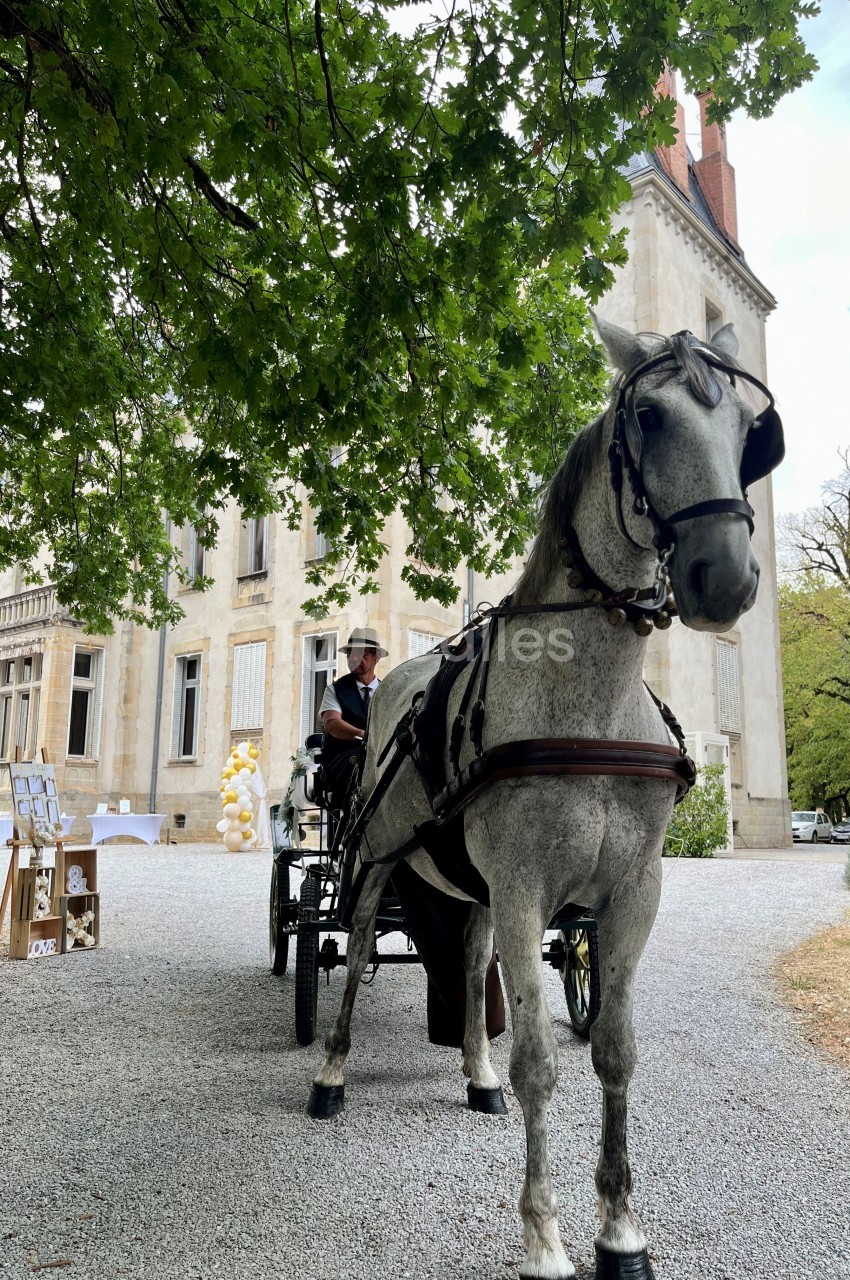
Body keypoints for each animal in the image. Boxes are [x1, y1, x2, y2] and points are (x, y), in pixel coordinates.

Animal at [306, 316, 784, 1280]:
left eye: (748, 431)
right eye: (648, 414)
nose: (726, 577)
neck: (588, 699)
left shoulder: (630, 893)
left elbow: (613, 1052)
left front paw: (621, 1232)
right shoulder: (527, 888)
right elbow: (540, 1063)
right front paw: (544, 1237)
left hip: (479, 889)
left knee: (469, 956)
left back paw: (476, 1074)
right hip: (375, 861)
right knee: (360, 945)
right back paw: (332, 1073)